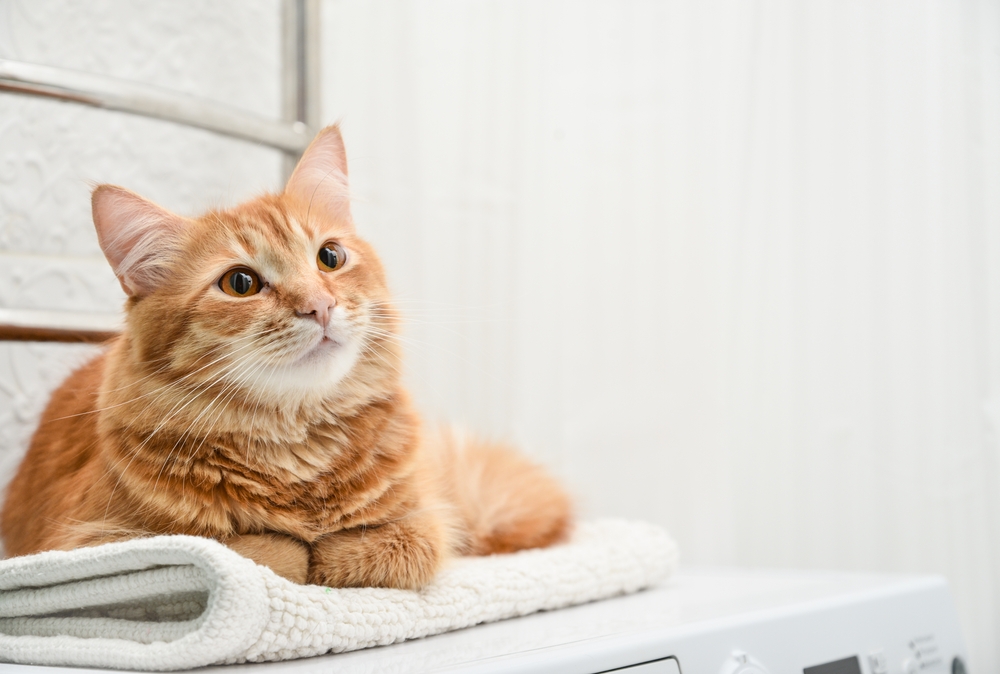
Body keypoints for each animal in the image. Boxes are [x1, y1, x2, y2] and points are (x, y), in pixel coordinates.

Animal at [0, 127, 572, 588]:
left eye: (330, 257)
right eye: (240, 283)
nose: (319, 305)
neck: (300, 450)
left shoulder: (426, 519)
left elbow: (388, 547)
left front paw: (333, 555)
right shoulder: (91, 544)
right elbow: (247, 549)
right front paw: (298, 552)